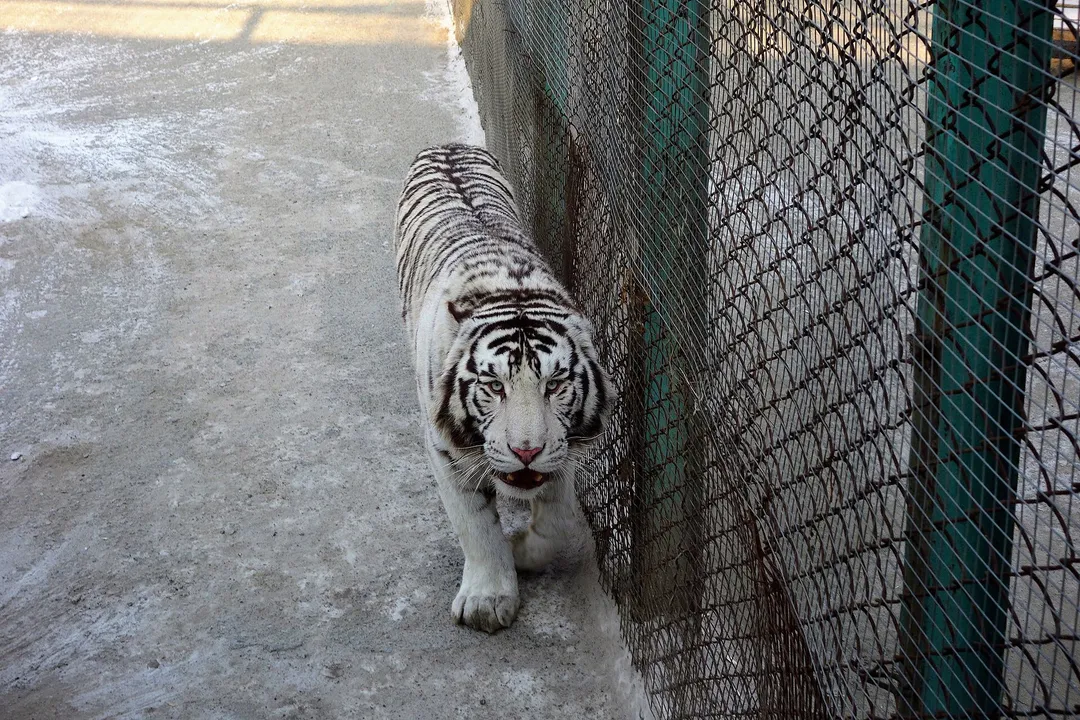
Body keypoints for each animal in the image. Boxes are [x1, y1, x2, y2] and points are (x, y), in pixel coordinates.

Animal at [393, 143, 614, 633]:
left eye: (555, 384)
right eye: (494, 385)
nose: (526, 451)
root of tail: (447, 145)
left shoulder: (562, 448)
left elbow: (559, 522)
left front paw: (521, 552)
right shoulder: (445, 449)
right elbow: (475, 526)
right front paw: (487, 601)